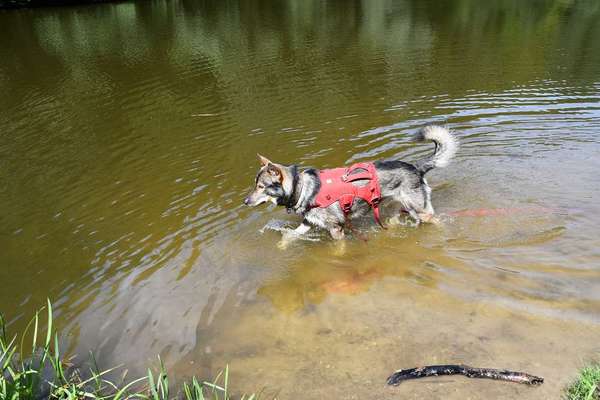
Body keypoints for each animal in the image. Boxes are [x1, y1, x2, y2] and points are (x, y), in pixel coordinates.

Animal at [241, 125, 458, 241]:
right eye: (254, 185)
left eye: (261, 187)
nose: (245, 201)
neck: (301, 188)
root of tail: (416, 166)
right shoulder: (308, 223)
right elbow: (290, 236)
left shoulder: (336, 229)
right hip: (405, 206)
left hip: (419, 207)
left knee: (435, 219)